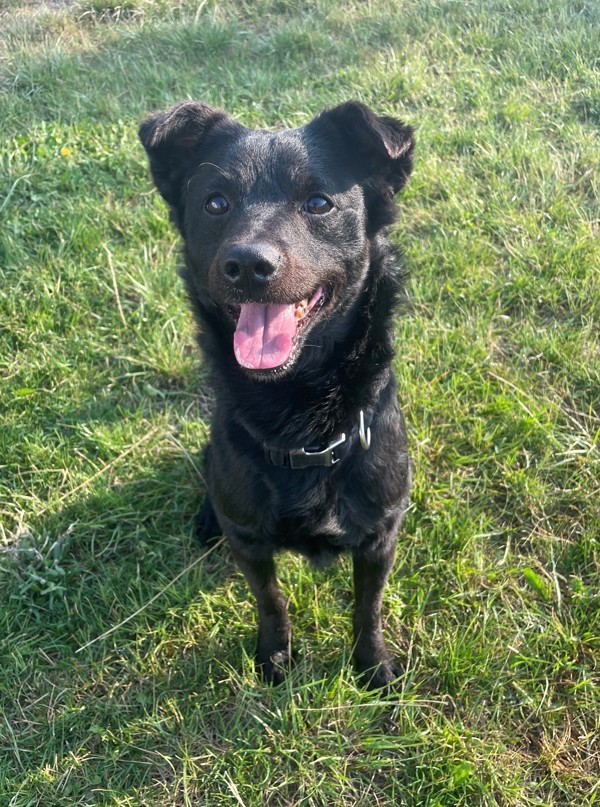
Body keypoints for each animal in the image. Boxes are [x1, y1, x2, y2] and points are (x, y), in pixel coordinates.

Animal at [139, 98, 414, 684]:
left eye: (319, 203)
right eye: (216, 203)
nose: (248, 264)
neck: (301, 418)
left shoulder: (381, 536)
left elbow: (368, 605)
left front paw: (372, 665)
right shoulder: (249, 541)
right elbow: (271, 601)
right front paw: (275, 656)